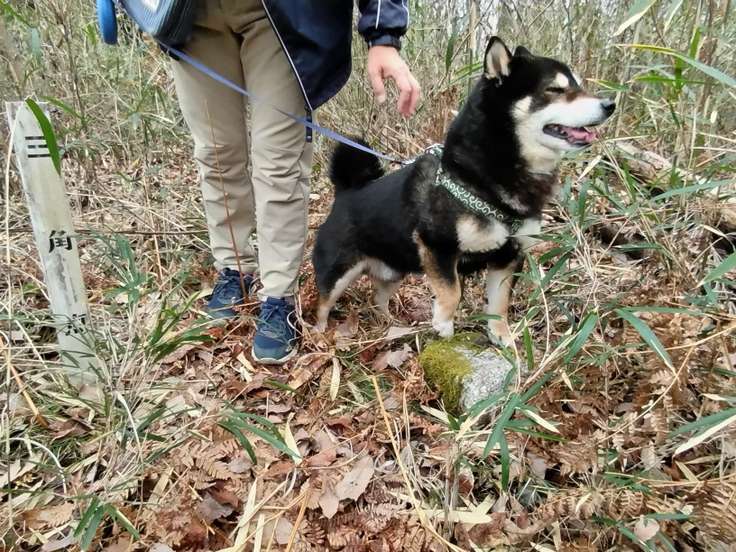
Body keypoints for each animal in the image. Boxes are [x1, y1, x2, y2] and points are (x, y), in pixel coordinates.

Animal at [312, 36, 615, 345]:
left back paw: (390, 324)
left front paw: (502, 336)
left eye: (578, 85)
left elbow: (499, 304)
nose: (610, 104)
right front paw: (443, 325)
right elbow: (453, 291)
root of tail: (345, 193)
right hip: (337, 274)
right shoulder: (438, 246)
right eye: (555, 90)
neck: (488, 176)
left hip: (394, 272)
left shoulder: (508, 258)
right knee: (322, 306)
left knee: (379, 299)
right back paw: (319, 336)